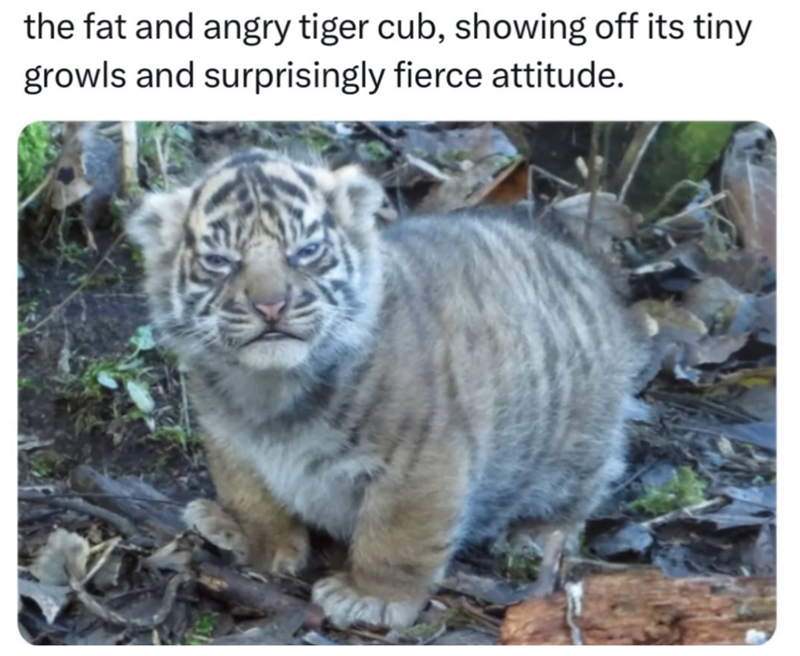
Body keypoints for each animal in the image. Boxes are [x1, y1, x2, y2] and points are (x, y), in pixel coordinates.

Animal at [126, 146, 649, 630]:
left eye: (306, 252)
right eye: (220, 261)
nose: (271, 306)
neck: (271, 391)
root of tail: (588, 271)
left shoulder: (421, 462)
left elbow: (398, 535)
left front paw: (371, 598)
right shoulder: (231, 444)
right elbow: (253, 499)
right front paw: (256, 542)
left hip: (576, 443)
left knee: (581, 493)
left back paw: (536, 535)